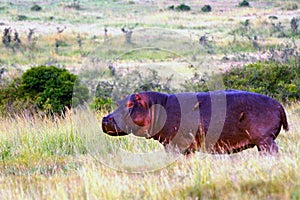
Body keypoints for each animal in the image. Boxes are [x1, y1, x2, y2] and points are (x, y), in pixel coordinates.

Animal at [101, 90, 288, 155]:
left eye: (130, 104)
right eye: (119, 102)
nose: (104, 118)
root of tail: (277, 104)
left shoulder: (174, 146)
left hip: (265, 140)